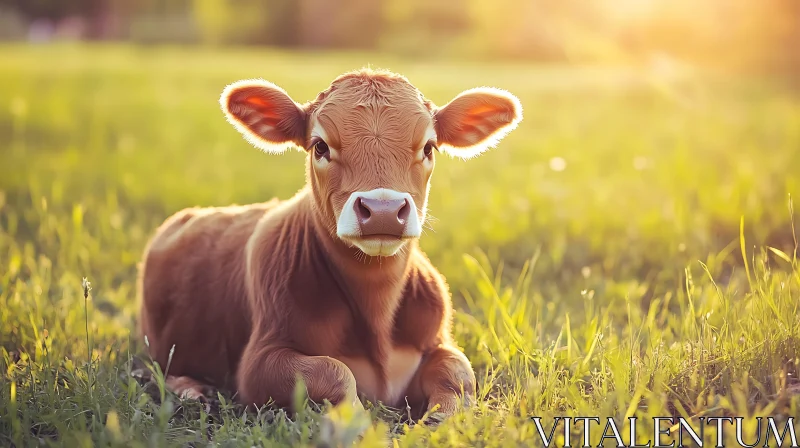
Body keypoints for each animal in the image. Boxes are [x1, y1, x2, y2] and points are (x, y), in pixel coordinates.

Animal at [136, 69, 524, 416]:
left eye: (428, 147)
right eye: (320, 146)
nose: (383, 210)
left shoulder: (439, 340)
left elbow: (457, 370)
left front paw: (444, 419)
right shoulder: (259, 361)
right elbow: (333, 370)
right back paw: (191, 390)